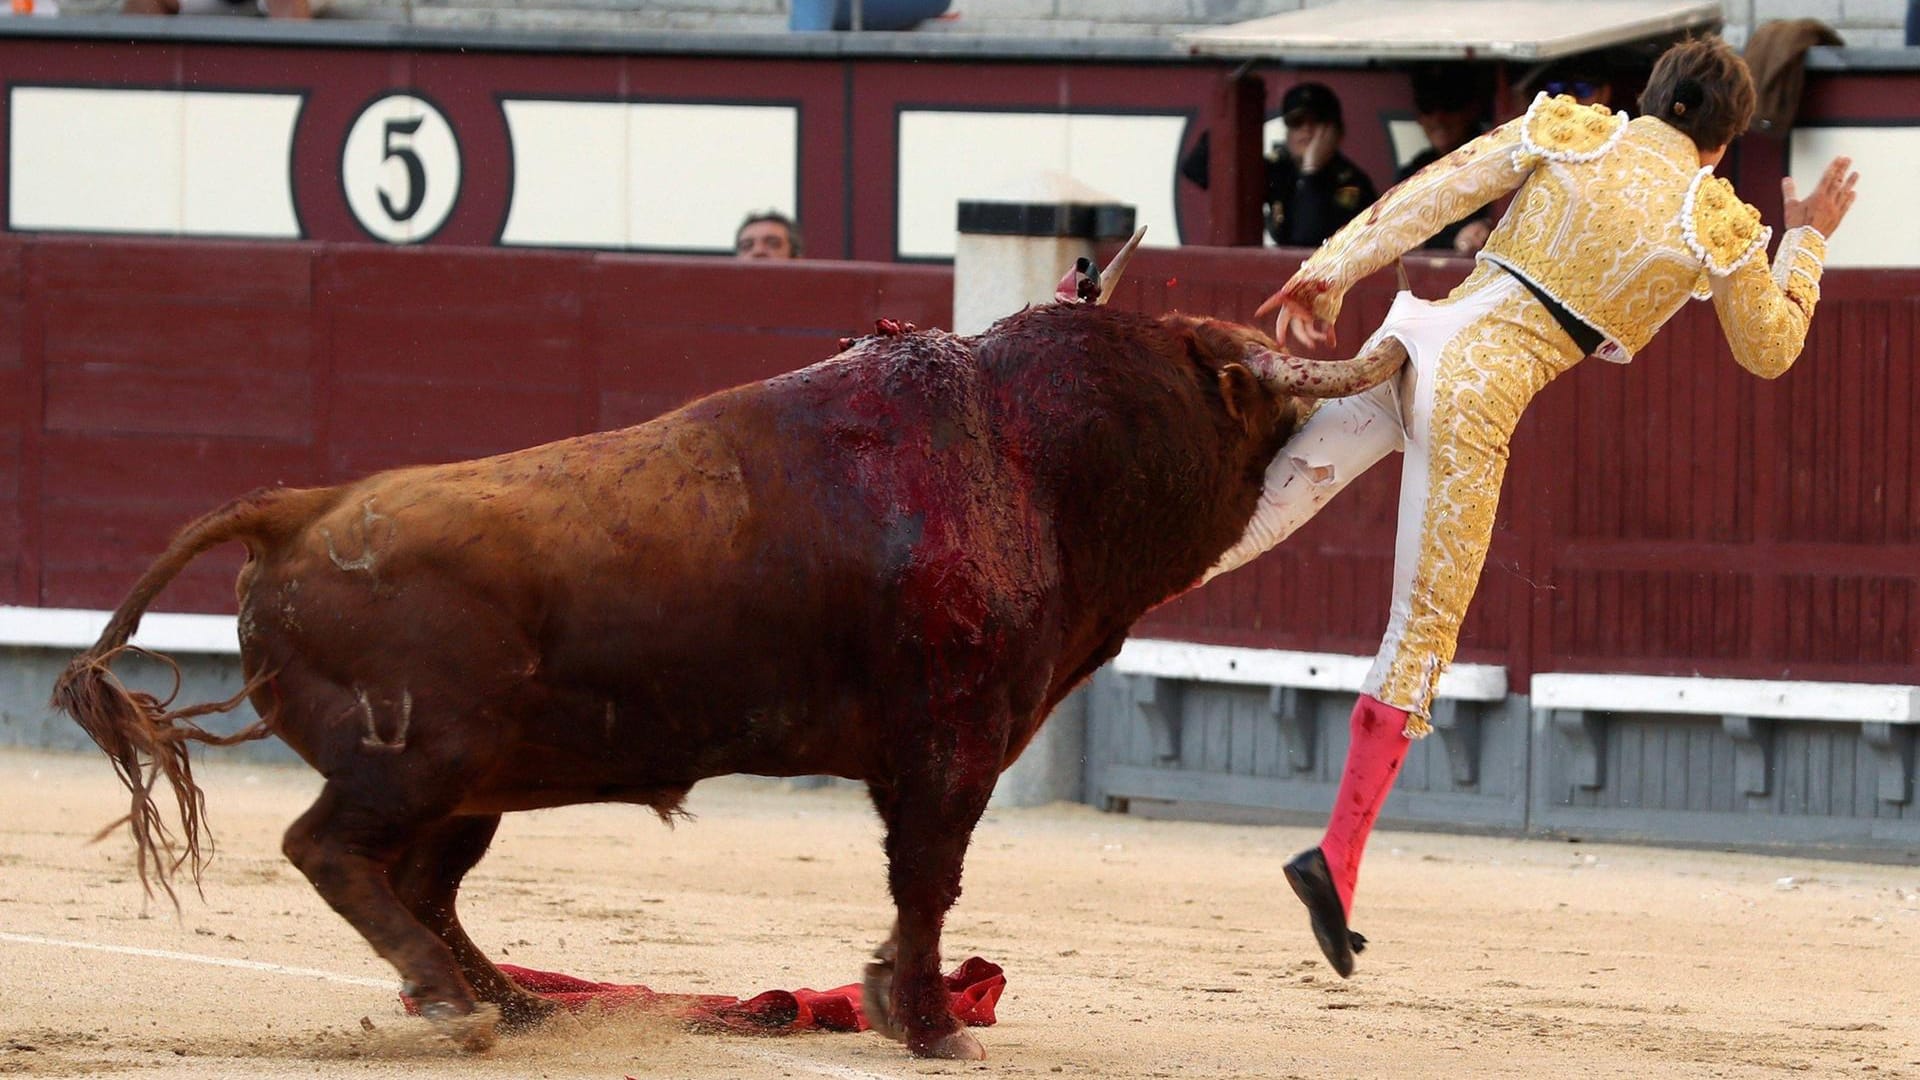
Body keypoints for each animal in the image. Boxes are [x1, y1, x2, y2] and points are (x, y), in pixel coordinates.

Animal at [52, 249, 1405, 1053]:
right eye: (1249, 398)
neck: (1035, 459)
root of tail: (298, 506)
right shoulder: (948, 750)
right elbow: (929, 884)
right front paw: (932, 1025)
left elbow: (917, 889)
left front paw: (894, 1004)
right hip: (419, 759)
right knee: (331, 850)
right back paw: (452, 1004)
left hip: (476, 783)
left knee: (423, 883)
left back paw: (509, 1001)